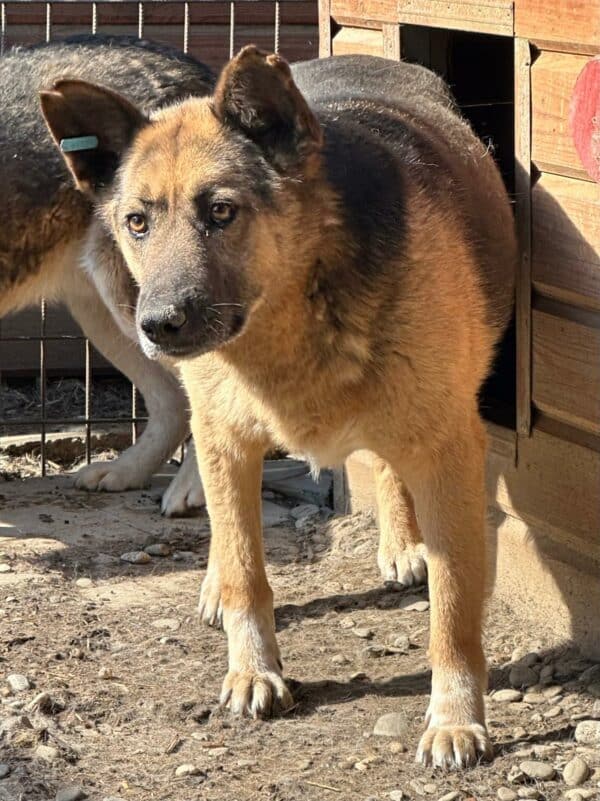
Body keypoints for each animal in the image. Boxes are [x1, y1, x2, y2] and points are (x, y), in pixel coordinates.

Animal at [44, 50, 516, 768]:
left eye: (221, 211)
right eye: (137, 221)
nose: (157, 325)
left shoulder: (447, 451)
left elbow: (454, 608)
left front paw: (455, 718)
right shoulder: (225, 437)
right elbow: (246, 566)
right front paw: (252, 669)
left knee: (384, 464)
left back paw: (402, 543)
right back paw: (217, 581)